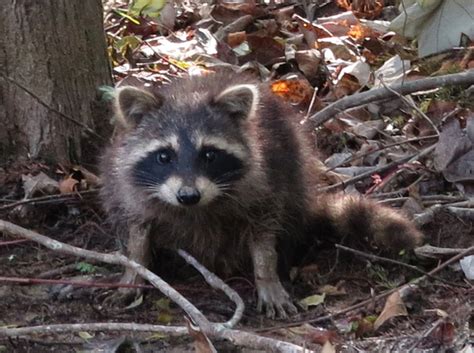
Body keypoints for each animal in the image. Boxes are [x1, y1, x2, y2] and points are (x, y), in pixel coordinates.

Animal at [100, 72, 422, 320]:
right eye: (164, 156)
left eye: (210, 155)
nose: (188, 195)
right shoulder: (129, 189)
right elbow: (138, 231)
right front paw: (134, 271)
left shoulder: (266, 181)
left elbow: (265, 234)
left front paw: (266, 275)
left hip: (294, 175)